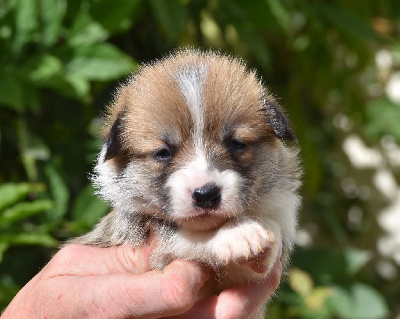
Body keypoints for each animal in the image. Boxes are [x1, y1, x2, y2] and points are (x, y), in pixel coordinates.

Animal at [72, 49, 304, 316]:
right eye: (162, 153)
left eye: (236, 144)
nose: (206, 194)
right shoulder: (138, 232)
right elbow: (184, 237)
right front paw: (238, 233)